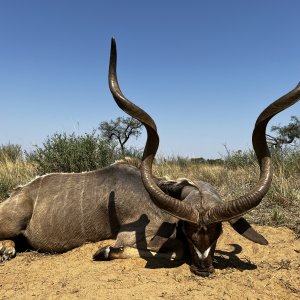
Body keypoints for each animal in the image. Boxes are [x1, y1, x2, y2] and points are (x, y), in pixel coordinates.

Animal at [0, 38, 298, 278]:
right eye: (186, 230)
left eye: (219, 230)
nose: (204, 268)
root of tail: (20, 192)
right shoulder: (131, 235)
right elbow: (174, 251)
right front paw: (103, 251)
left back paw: (8, 249)